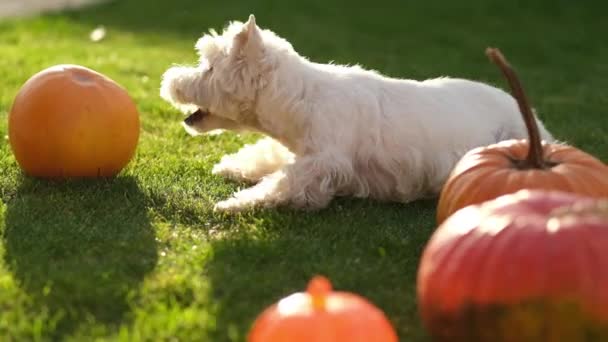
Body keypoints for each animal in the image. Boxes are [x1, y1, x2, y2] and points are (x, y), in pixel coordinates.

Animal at [159, 16, 552, 214]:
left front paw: (233, 203)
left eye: (208, 67)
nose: (168, 79)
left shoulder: (325, 161)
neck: (302, 99)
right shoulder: (299, 149)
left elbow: (283, 181)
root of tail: (533, 119)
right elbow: (267, 157)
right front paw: (232, 167)